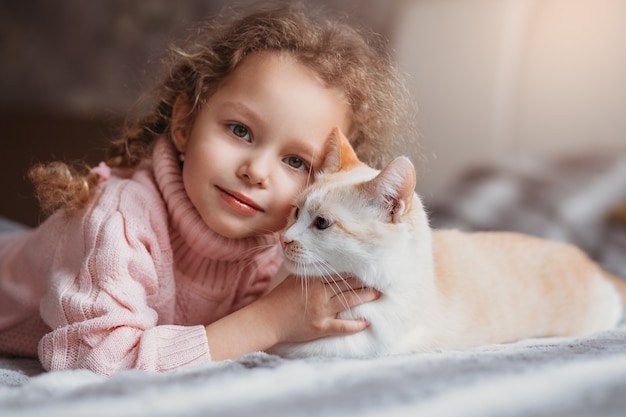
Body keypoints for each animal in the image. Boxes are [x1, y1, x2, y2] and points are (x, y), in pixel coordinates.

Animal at [270, 127, 624, 358]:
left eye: (322, 223)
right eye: (296, 212)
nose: (284, 240)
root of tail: (590, 263)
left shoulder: (351, 344)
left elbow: (292, 348)